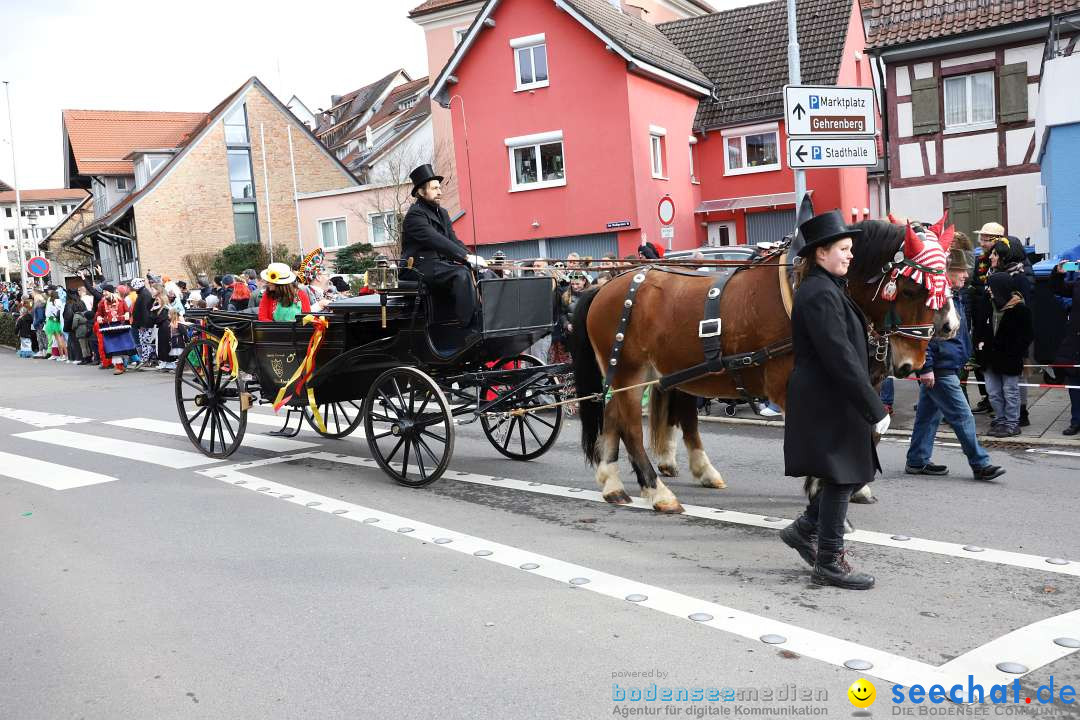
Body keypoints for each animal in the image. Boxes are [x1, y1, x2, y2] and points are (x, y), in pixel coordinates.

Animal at [570, 218, 959, 511]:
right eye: (911, 289)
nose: (949, 328)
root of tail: (606, 286)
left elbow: (870, 427)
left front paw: (853, 486)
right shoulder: (793, 386)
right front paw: (821, 486)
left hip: (634, 374)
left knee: (615, 417)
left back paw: (613, 483)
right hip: (629, 372)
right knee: (631, 427)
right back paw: (656, 490)